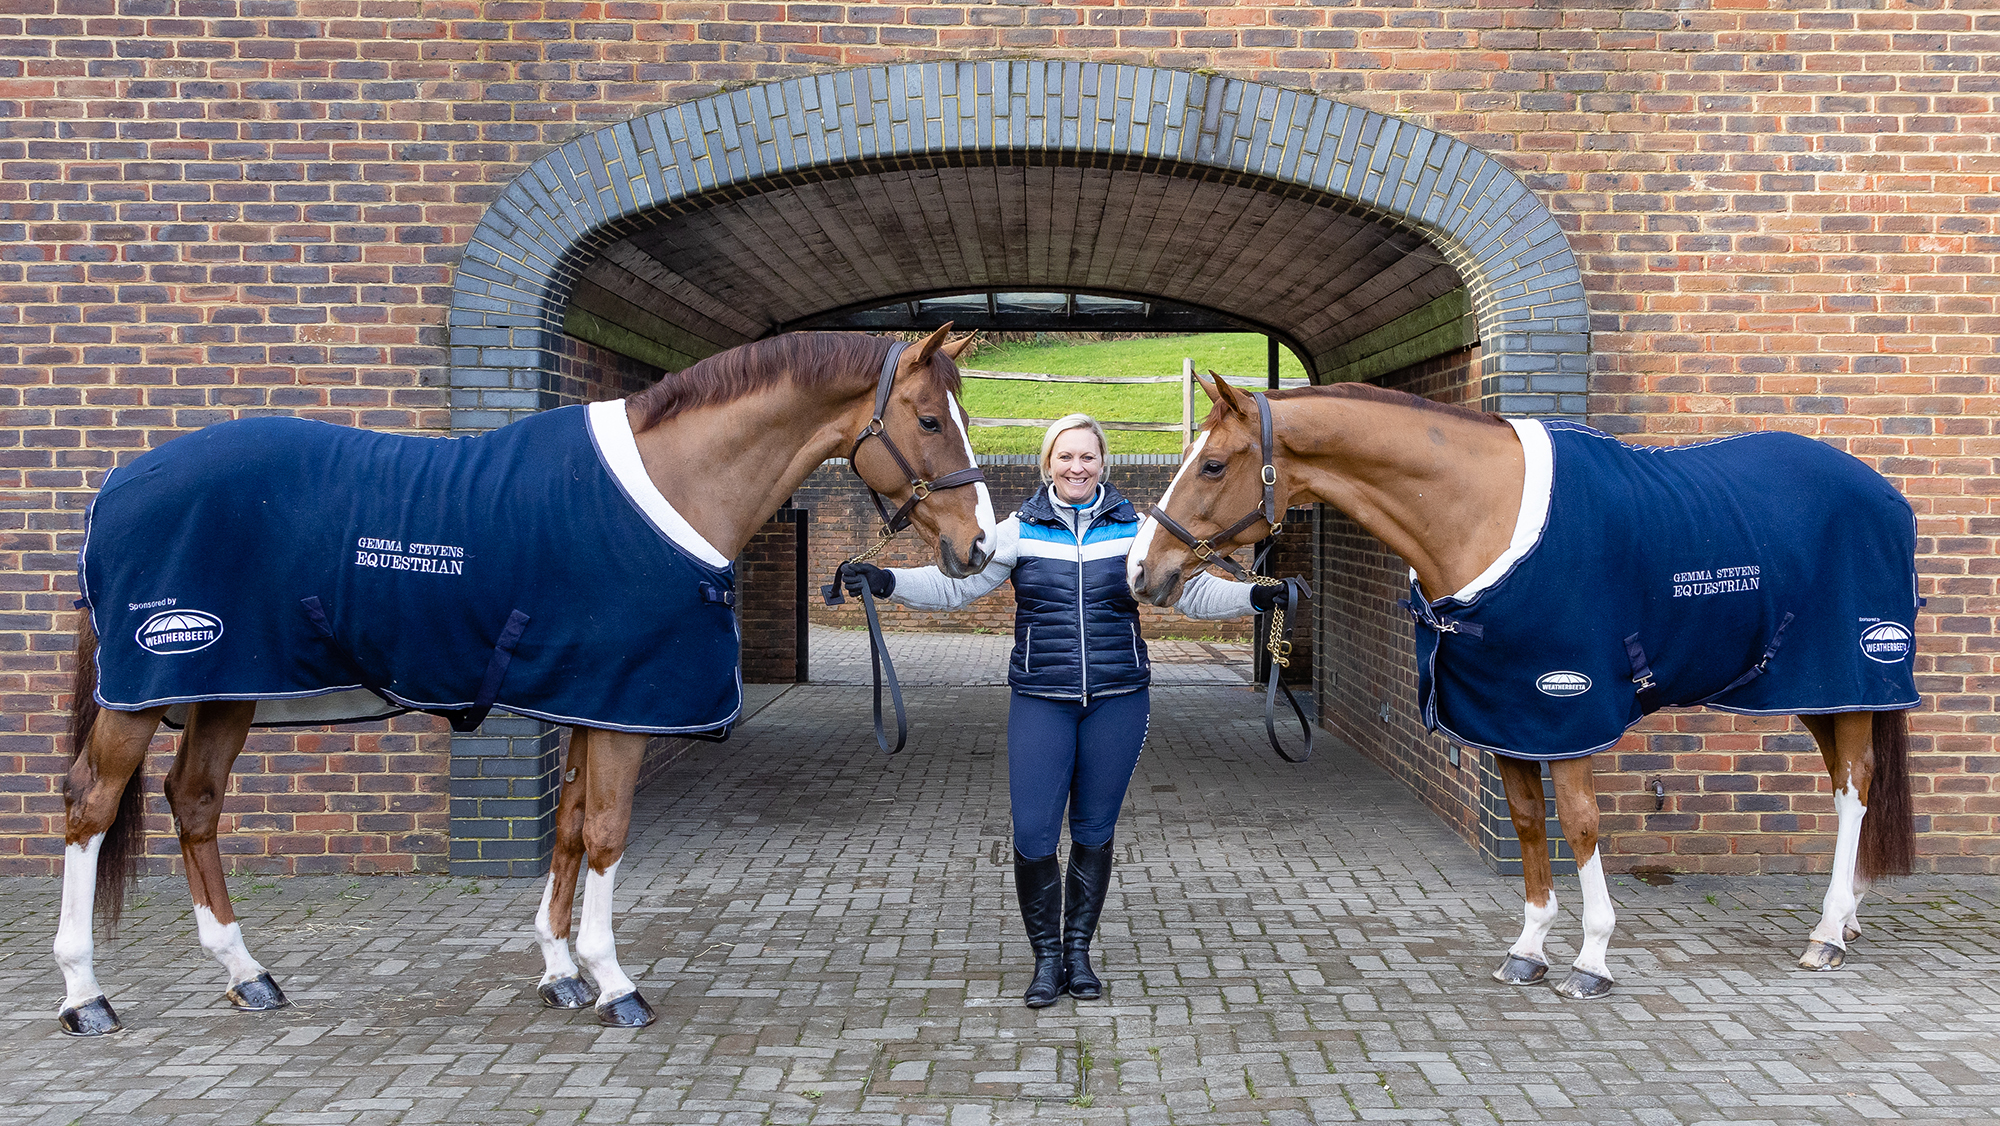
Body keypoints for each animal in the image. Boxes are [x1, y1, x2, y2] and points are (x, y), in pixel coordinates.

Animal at [55, 325, 998, 1035]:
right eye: (927, 419)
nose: (980, 546)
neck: (670, 485)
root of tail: (120, 482)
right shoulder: (621, 705)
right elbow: (608, 833)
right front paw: (615, 983)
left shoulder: (588, 695)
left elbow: (572, 829)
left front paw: (559, 973)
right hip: (148, 691)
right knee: (90, 804)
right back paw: (84, 995)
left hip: (227, 688)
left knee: (194, 801)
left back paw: (246, 974)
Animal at [1128, 375, 1917, 999]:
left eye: (1213, 465)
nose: (1141, 569)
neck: (1483, 512)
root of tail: (1884, 493)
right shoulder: (1506, 714)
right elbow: (1530, 821)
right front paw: (1528, 950)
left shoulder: (1566, 706)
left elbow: (1581, 823)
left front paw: (1593, 959)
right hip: (1807, 688)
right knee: (1846, 782)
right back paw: (1846, 917)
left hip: (1851, 677)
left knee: (1854, 786)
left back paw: (1826, 933)